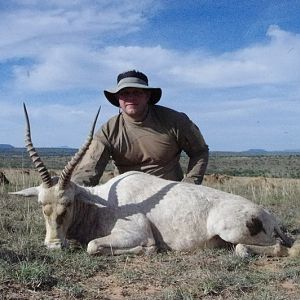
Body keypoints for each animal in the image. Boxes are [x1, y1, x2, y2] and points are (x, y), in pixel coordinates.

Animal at [11, 104, 298, 256]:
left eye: (68, 203)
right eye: (41, 205)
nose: (53, 245)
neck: (101, 201)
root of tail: (269, 217)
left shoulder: (134, 232)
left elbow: (93, 245)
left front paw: (149, 249)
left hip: (234, 232)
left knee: (268, 248)